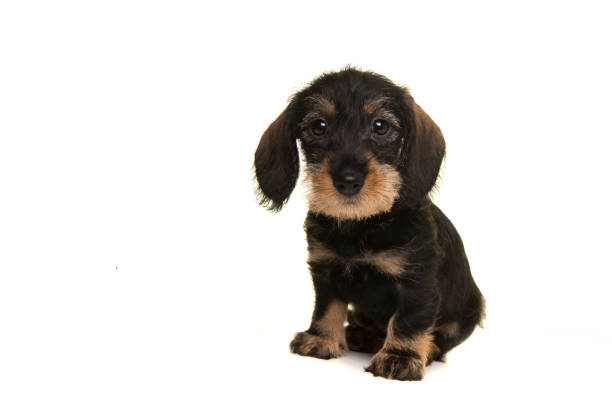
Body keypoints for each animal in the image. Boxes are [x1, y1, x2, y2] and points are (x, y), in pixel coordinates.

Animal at [252, 67, 482, 382]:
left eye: (380, 126)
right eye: (319, 126)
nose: (348, 181)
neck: (361, 225)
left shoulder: (417, 280)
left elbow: (409, 319)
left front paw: (400, 356)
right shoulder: (325, 269)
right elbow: (327, 306)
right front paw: (321, 338)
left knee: (444, 338)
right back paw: (360, 334)